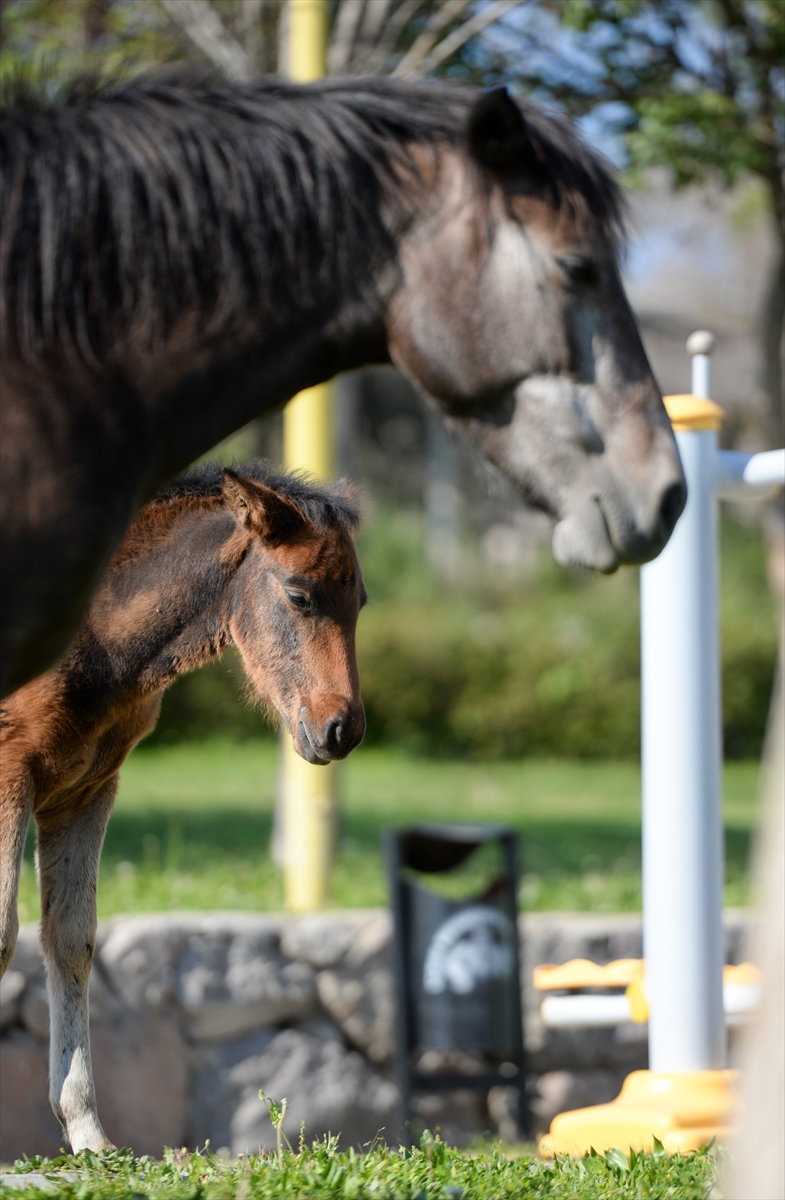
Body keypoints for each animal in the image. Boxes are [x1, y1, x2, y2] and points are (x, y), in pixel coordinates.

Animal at [0, 460, 369, 1152]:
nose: (343, 730)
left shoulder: (85, 791)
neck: (95, 640)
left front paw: (87, 1132)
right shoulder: (11, 772)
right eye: (299, 595)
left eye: (359, 602)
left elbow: (71, 938)